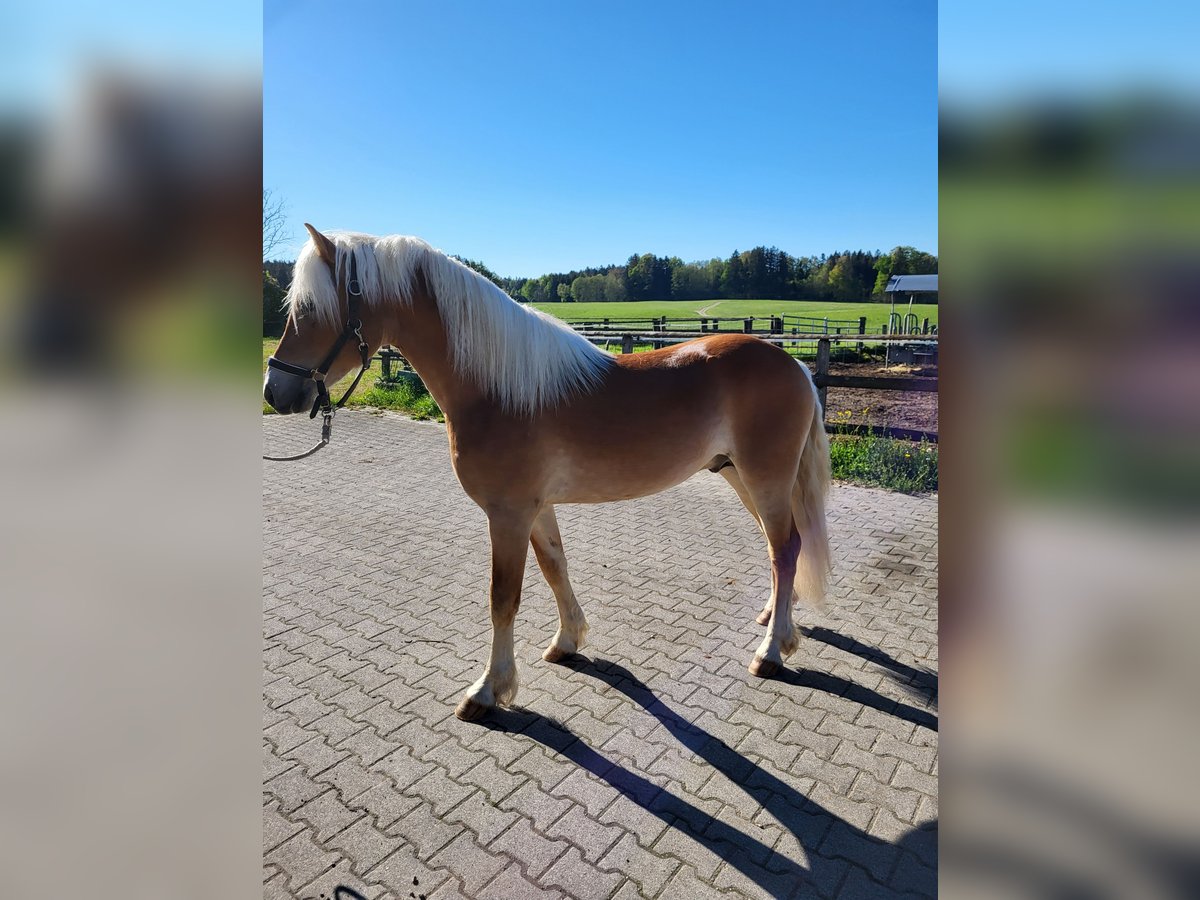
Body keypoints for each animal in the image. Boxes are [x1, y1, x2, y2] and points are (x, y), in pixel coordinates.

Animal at [264, 226, 830, 724]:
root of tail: (795, 366)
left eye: (310, 310)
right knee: (782, 547)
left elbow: (503, 598)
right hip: (742, 477)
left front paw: (489, 689)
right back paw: (773, 619)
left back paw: (771, 650)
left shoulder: (508, 514)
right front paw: (567, 641)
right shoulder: (536, 510)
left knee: (784, 548)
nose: (275, 392)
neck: (496, 387)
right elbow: (556, 567)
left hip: (764, 478)